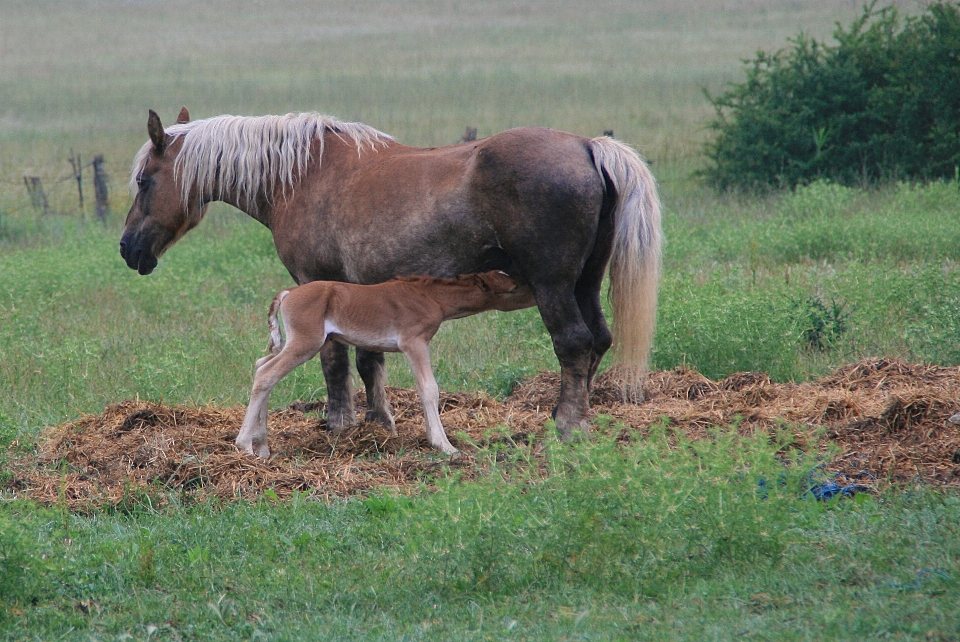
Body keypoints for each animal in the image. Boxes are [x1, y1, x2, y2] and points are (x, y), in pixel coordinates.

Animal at [232, 268, 532, 456]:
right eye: (513, 286)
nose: (534, 289)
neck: (430, 297)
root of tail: (288, 293)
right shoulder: (414, 342)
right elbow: (429, 389)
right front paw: (444, 446)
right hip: (306, 342)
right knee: (267, 374)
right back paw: (245, 445)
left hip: (294, 343)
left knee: (262, 364)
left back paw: (263, 447)